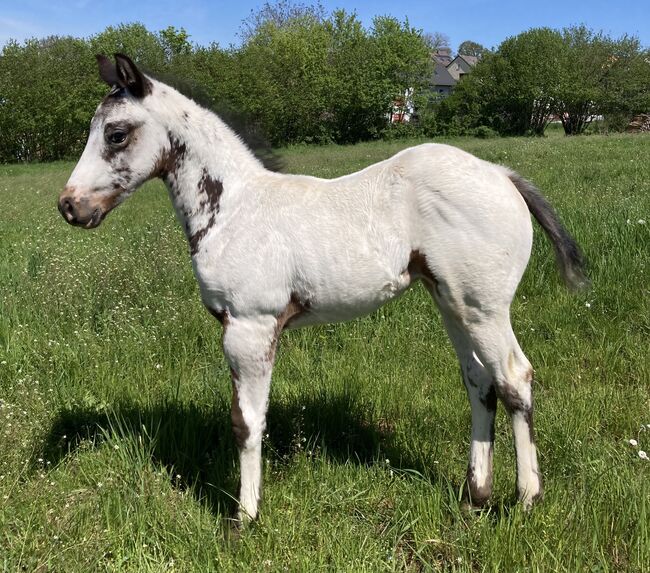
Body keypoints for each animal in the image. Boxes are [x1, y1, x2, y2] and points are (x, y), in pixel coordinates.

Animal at [57, 53, 588, 524]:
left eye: (116, 134)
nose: (70, 206)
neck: (235, 209)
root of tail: (501, 174)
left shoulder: (249, 327)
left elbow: (246, 423)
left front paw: (244, 517)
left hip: (485, 308)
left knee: (515, 379)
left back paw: (526, 501)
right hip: (451, 303)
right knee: (480, 382)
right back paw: (475, 497)